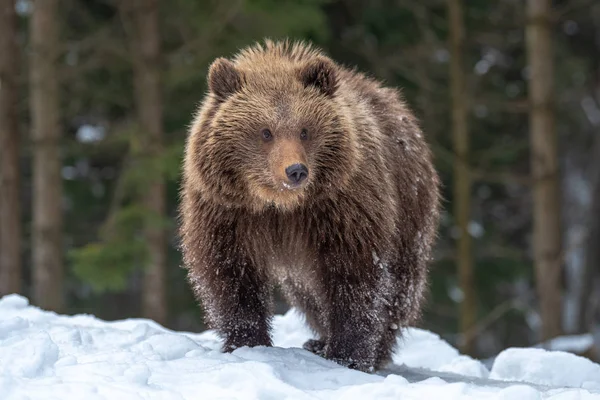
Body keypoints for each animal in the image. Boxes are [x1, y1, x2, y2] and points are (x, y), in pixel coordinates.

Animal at [178, 39, 440, 370]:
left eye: (304, 130)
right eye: (266, 132)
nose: (295, 170)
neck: (280, 206)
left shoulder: (341, 209)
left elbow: (355, 277)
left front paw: (348, 354)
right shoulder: (228, 212)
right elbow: (230, 273)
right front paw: (246, 341)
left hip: (409, 213)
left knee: (399, 289)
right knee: (309, 294)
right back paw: (317, 341)